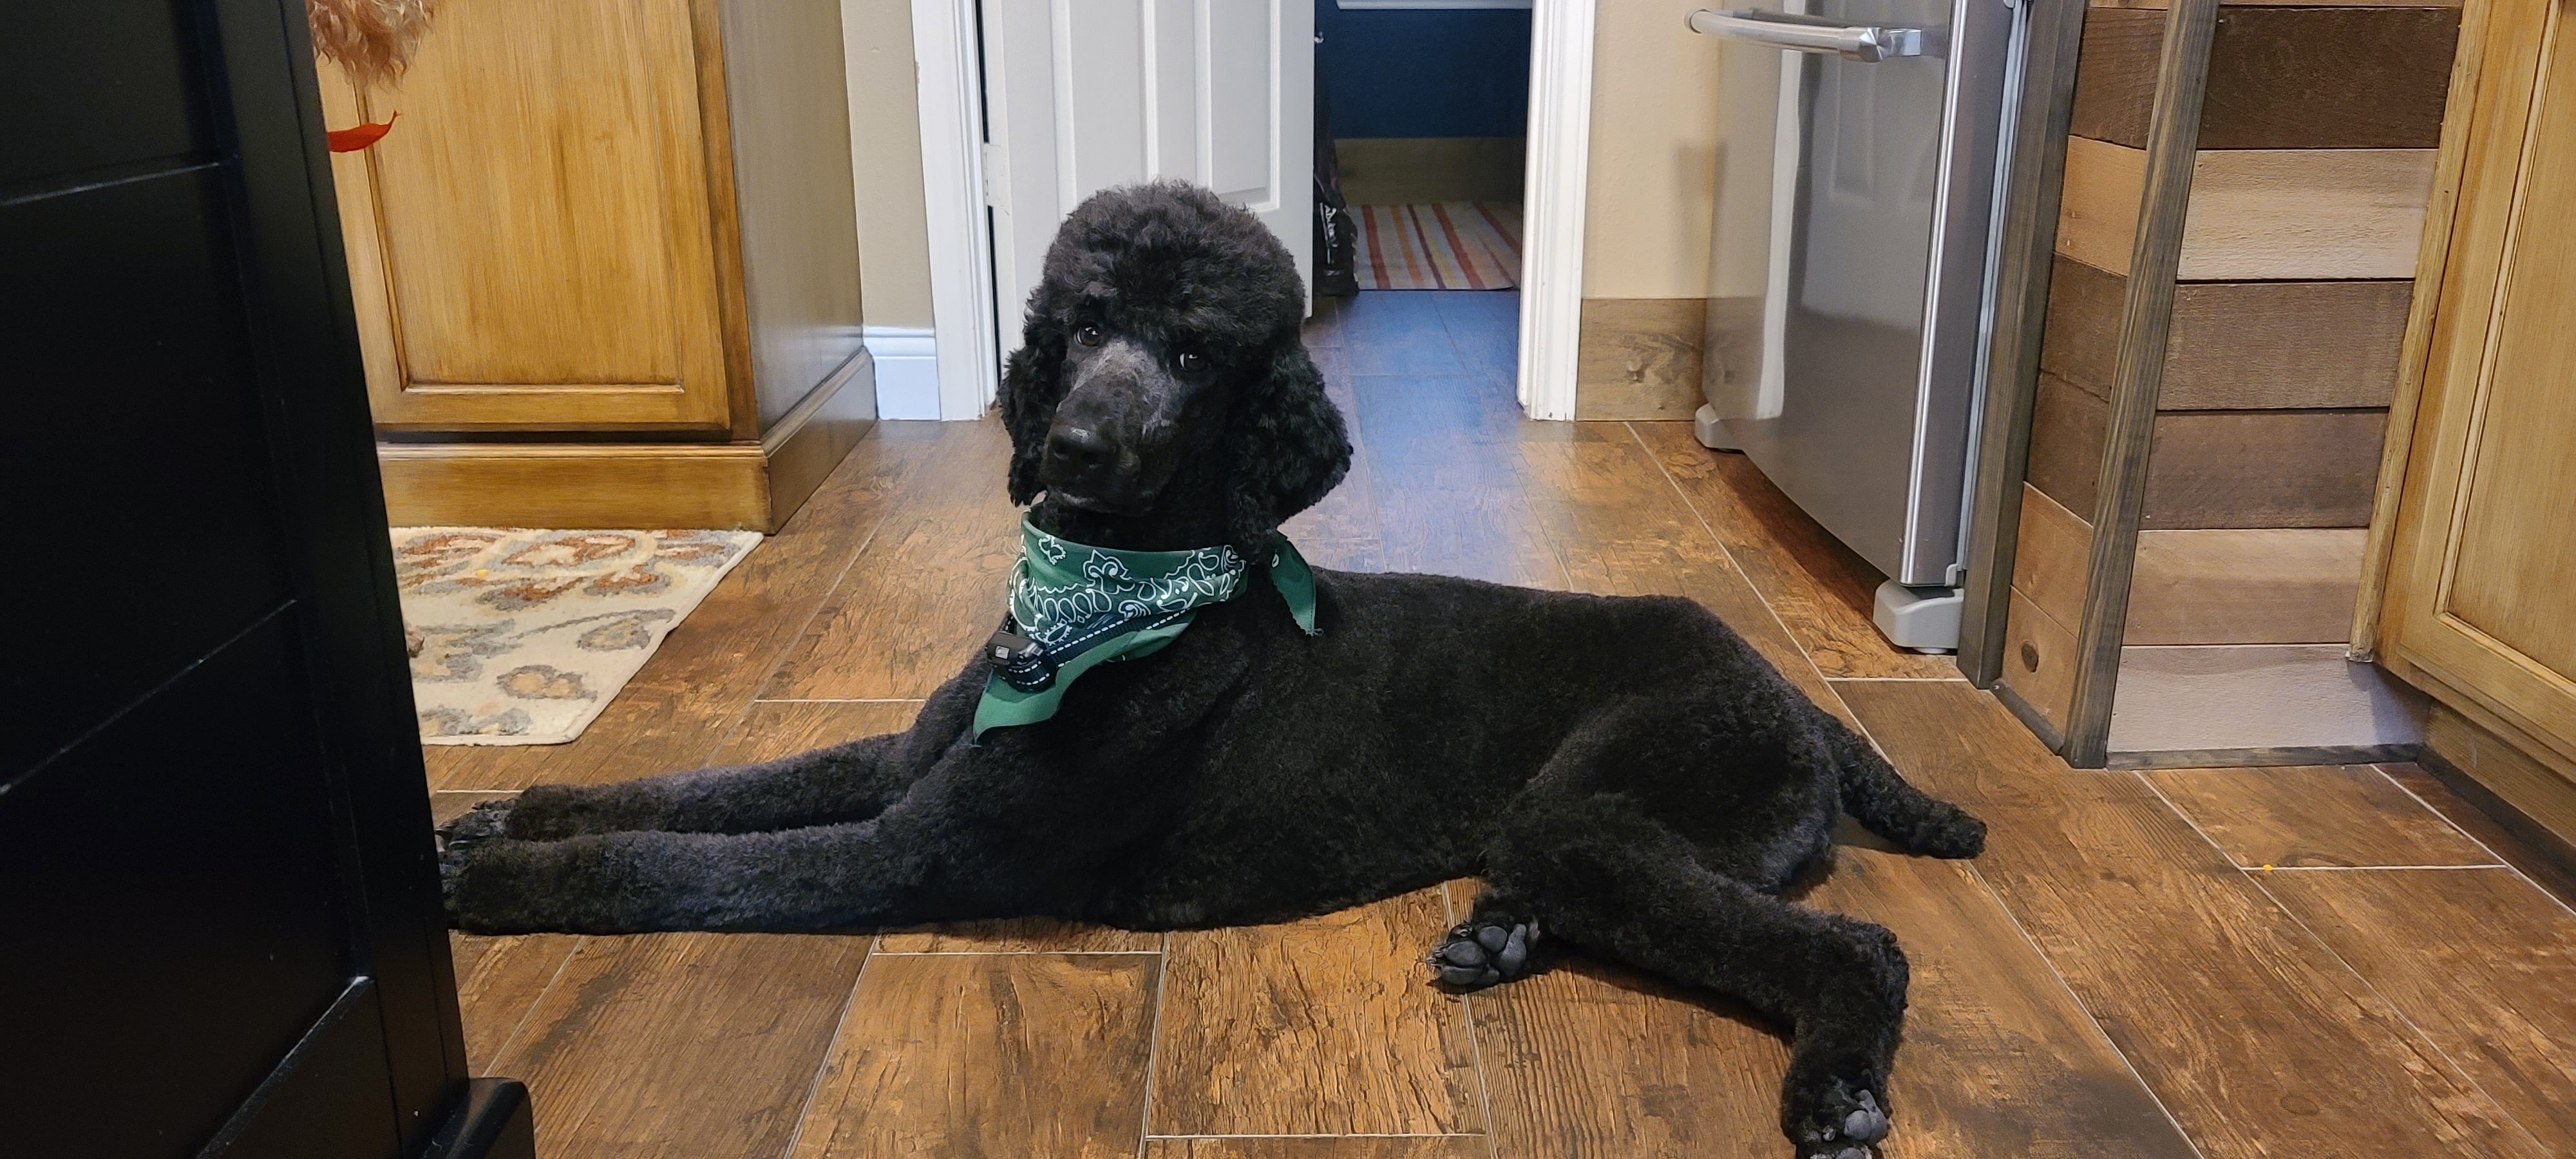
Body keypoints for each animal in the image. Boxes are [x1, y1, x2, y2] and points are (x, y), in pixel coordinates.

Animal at [438, 181, 1987, 1159]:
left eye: (1193, 356)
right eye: (1076, 329)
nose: (1072, 449)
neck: (1106, 604)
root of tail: (1791, 689)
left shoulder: (913, 850)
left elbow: (679, 868)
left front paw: (498, 884)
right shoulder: (908, 758)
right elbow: (711, 785)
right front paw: (508, 811)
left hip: (1600, 802)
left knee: (1852, 944)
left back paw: (1835, 1088)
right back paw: (1500, 938)